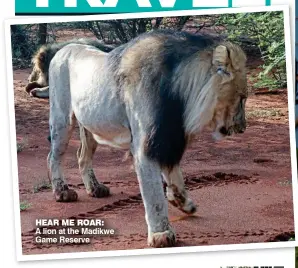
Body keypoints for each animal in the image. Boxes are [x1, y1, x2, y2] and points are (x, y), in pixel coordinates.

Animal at [46, 30, 247, 248]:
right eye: (242, 98)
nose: (243, 127)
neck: (182, 98)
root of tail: (65, 48)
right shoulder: (146, 145)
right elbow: (154, 195)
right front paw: (161, 234)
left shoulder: (167, 138)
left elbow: (175, 176)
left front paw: (184, 203)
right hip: (62, 119)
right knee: (53, 156)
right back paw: (62, 192)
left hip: (92, 127)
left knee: (82, 156)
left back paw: (95, 188)